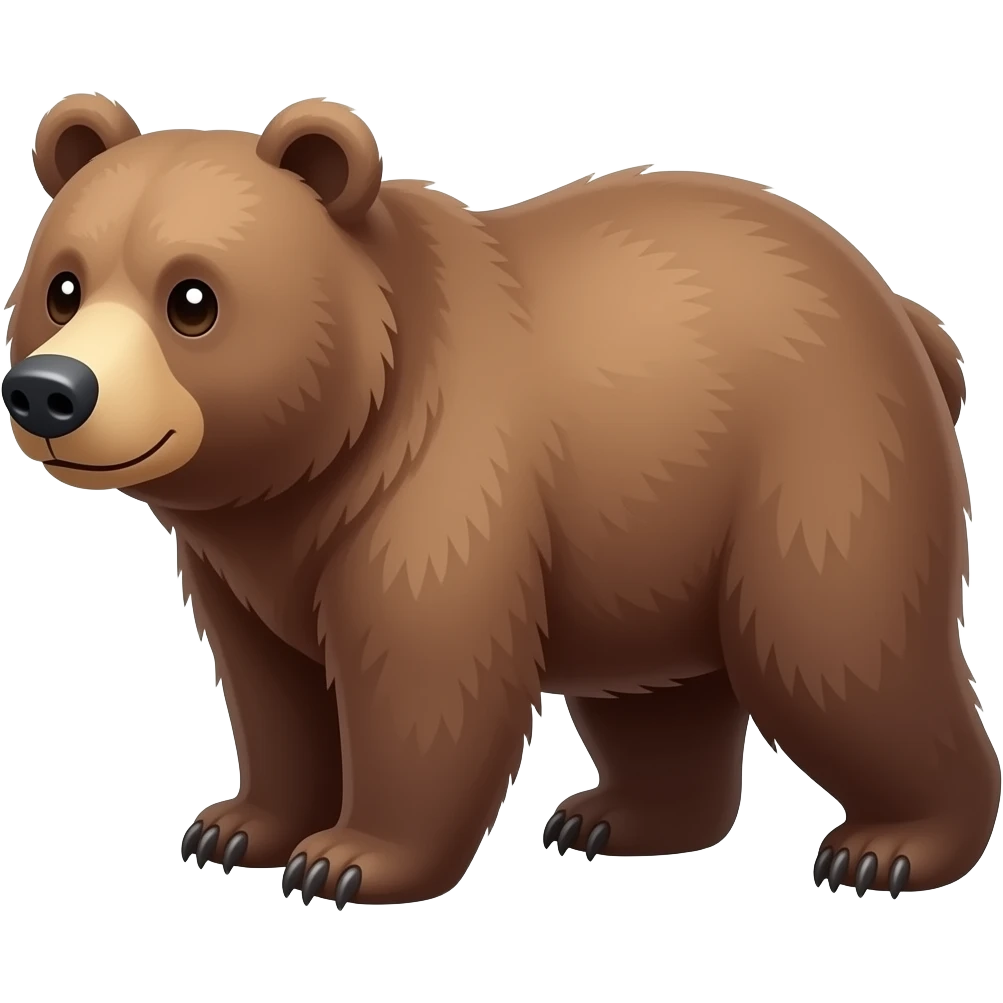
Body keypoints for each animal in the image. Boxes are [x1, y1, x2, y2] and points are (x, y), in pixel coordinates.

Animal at [3, 92, 997, 909]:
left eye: (192, 298)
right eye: (62, 284)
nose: (51, 391)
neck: (321, 457)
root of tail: (901, 312)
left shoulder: (441, 480)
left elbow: (425, 673)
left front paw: (349, 858)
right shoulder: (240, 557)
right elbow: (267, 686)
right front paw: (236, 825)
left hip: (817, 461)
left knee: (833, 652)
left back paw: (889, 845)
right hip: (656, 528)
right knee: (661, 692)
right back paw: (616, 817)